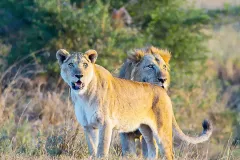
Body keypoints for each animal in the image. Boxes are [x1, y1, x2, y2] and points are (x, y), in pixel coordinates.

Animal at [56, 49, 212, 160]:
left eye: (85, 65)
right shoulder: (88, 126)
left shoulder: (106, 124)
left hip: (162, 129)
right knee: (152, 150)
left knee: (168, 153)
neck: (84, 95)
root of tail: (162, 90)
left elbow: (101, 150)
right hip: (146, 128)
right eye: (70, 64)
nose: (79, 75)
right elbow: (93, 150)